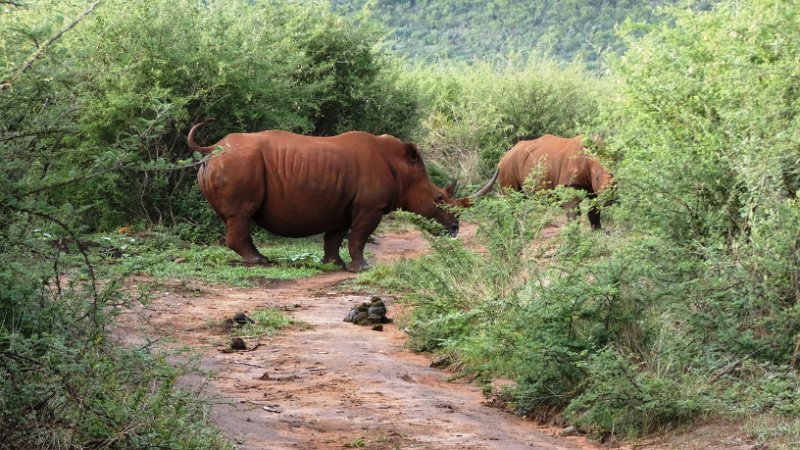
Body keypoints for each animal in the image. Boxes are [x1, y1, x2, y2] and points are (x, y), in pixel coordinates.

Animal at [188, 120, 470, 272]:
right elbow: (359, 237)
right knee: (241, 214)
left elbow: (335, 237)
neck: (403, 169)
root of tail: (213, 148)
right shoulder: (371, 206)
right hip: (238, 162)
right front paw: (362, 268)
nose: (455, 228)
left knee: (235, 217)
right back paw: (259, 261)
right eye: (439, 198)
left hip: (231, 162)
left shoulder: (342, 206)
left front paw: (334, 265)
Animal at [473, 134, 613, 229]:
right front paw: (573, 232)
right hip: (507, 166)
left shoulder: (592, 188)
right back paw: (513, 231)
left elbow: (594, 210)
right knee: (511, 200)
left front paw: (598, 231)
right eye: (597, 178)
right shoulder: (569, 184)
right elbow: (574, 212)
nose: (610, 199)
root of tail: (505, 155)